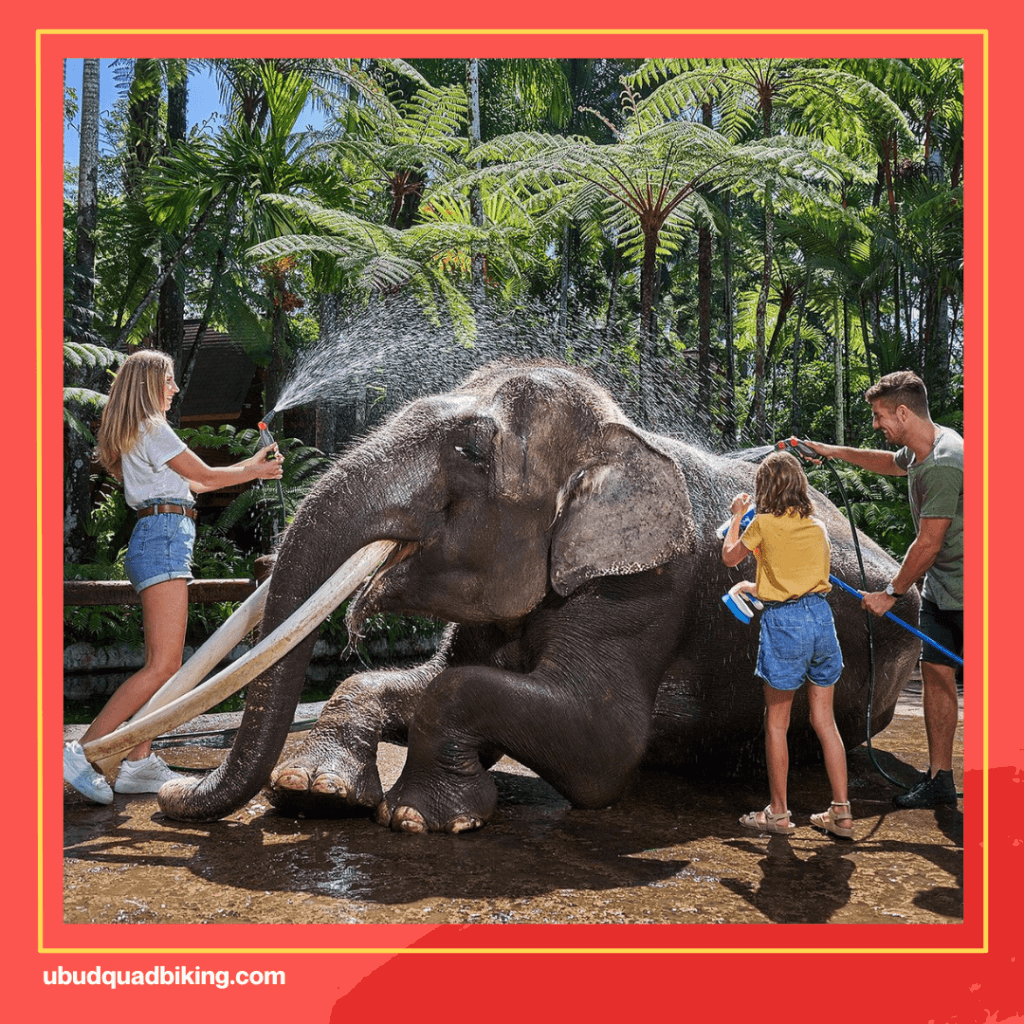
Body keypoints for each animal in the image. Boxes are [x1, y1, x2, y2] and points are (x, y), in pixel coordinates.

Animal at [157, 360, 921, 831]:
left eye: (471, 451)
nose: (168, 790)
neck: (618, 432)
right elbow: (419, 678)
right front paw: (312, 791)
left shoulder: (644, 589)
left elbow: (601, 744)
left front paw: (416, 817)